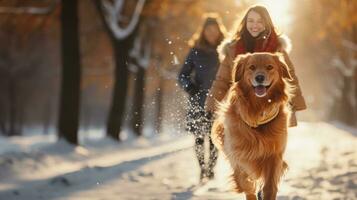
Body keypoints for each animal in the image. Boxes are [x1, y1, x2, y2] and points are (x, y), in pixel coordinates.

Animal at [211, 52, 292, 199]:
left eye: (270, 67)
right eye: (252, 67)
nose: (259, 77)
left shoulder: (275, 155)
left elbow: (269, 187)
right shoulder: (239, 155)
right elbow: (246, 181)